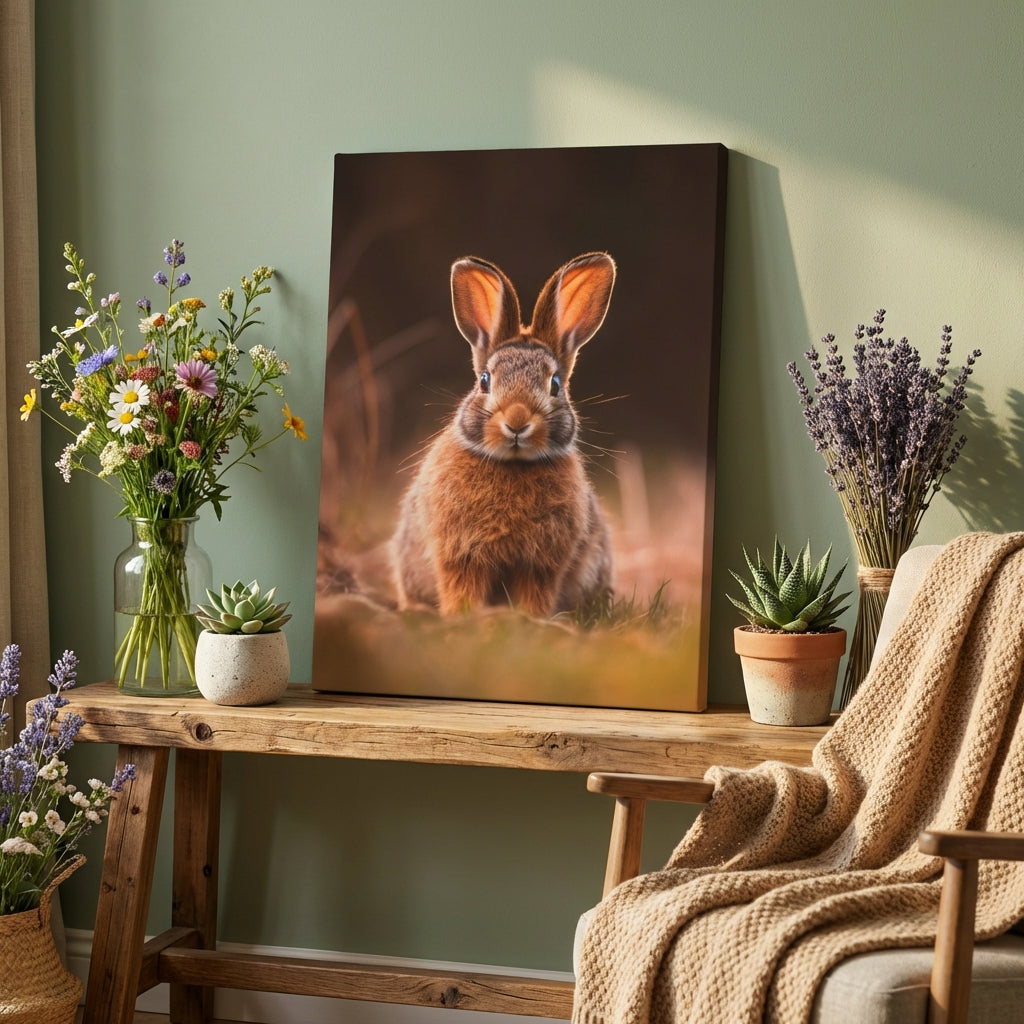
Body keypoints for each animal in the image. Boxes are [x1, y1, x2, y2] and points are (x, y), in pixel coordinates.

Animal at [392, 251, 616, 619]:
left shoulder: (540, 565)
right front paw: (462, 617)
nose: (517, 421)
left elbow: (534, 595)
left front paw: (530, 620)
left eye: (555, 385)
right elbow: (461, 587)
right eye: (485, 380)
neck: (512, 464)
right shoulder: (460, 555)